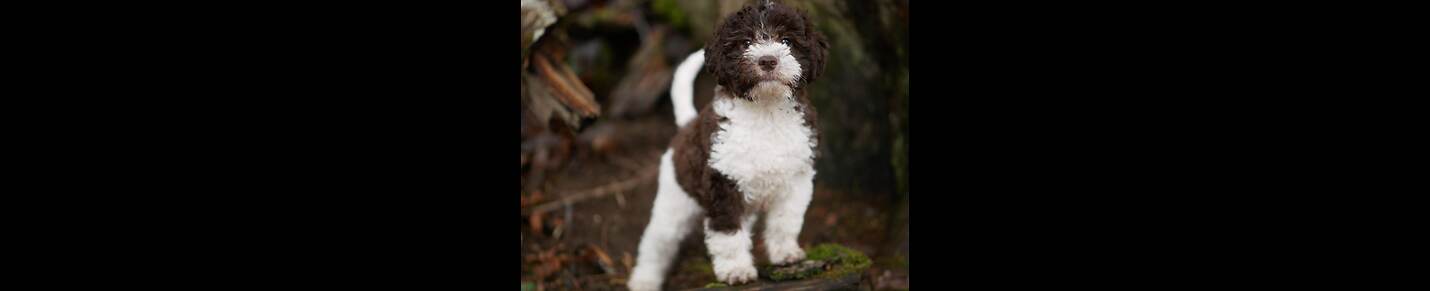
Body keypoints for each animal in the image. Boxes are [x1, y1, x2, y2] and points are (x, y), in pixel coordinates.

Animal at [626, 1, 829, 289]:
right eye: (746, 42)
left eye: (786, 41)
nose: (768, 60)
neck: (766, 113)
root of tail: (687, 124)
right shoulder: (723, 183)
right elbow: (728, 233)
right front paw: (736, 270)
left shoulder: (796, 181)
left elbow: (785, 221)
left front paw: (786, 254)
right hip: (673, 201)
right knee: (656, 244)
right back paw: (644, 280)